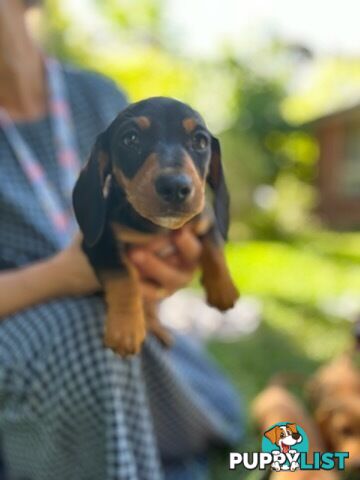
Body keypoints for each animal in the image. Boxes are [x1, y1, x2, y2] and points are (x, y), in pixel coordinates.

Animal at [73, 95, 239, 354]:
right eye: (130, 139)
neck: (159, 227)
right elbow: (124, 277)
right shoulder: (102, 246)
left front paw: (223, 288)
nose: (175, 186)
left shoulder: (206, 219)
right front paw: (126, 328)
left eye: (200, 141)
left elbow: (214, 248)